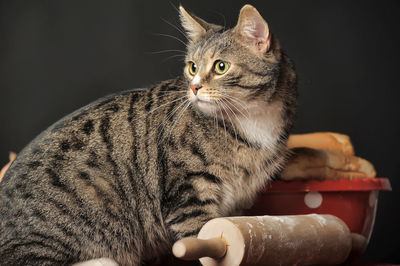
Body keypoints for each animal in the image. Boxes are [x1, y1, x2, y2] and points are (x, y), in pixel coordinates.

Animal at [0, 4, 294, 266]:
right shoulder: (188, 196)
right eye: (192, 67)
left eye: (221, 67)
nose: (194, 87)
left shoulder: (236, 207)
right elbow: (204, 240)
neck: (251, 121)